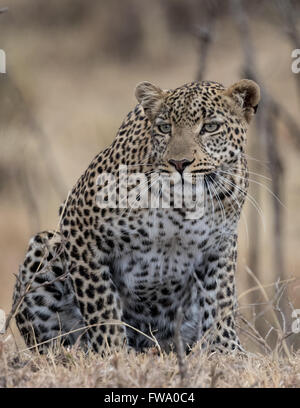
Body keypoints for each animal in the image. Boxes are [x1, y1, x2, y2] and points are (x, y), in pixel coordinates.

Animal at [12, 79, 260, 354]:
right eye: (164, 128)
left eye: (210, 127)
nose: (180, 163)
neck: (184, 205)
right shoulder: (78, 226)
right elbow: (101, 304)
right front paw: (113, 351)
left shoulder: (221, 244)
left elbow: (220, 299)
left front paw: (227, 349)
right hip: (45, 246)